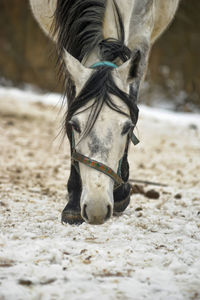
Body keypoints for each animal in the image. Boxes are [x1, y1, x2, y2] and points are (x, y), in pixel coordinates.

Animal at [28, 0, 180, 224]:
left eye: (127, 127)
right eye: (75, 125)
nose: (97, 207)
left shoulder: (142, 33)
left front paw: (121, 194)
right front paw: (73, 204)